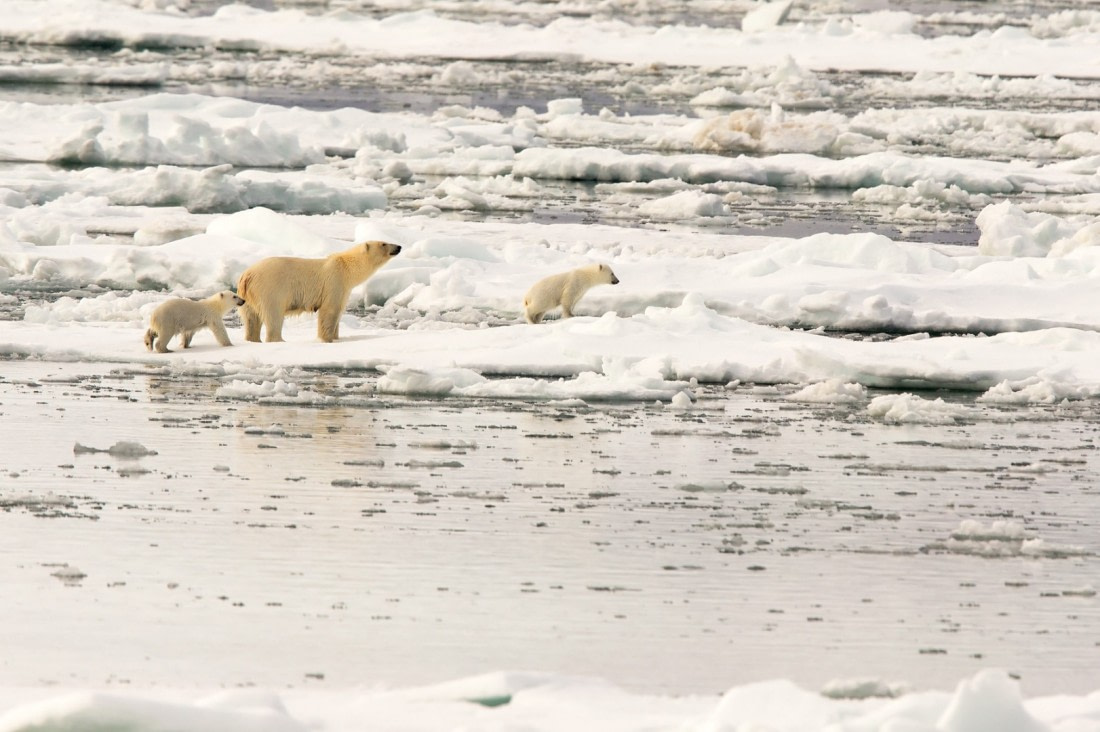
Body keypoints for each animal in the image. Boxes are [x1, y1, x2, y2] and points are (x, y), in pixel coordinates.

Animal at [236, 240, 402, 343]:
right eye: (383, 243)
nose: (399, 247)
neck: (346, 269)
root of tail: (247, 276)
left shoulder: (344, 289)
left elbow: (339, 311)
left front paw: (336, 337)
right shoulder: (334, 283)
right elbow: (330, 311)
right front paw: (326, 339)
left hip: (246, 297)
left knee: (251, 318)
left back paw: (253, 339)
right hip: (271, 289)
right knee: (273, 316)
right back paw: (279, 340)